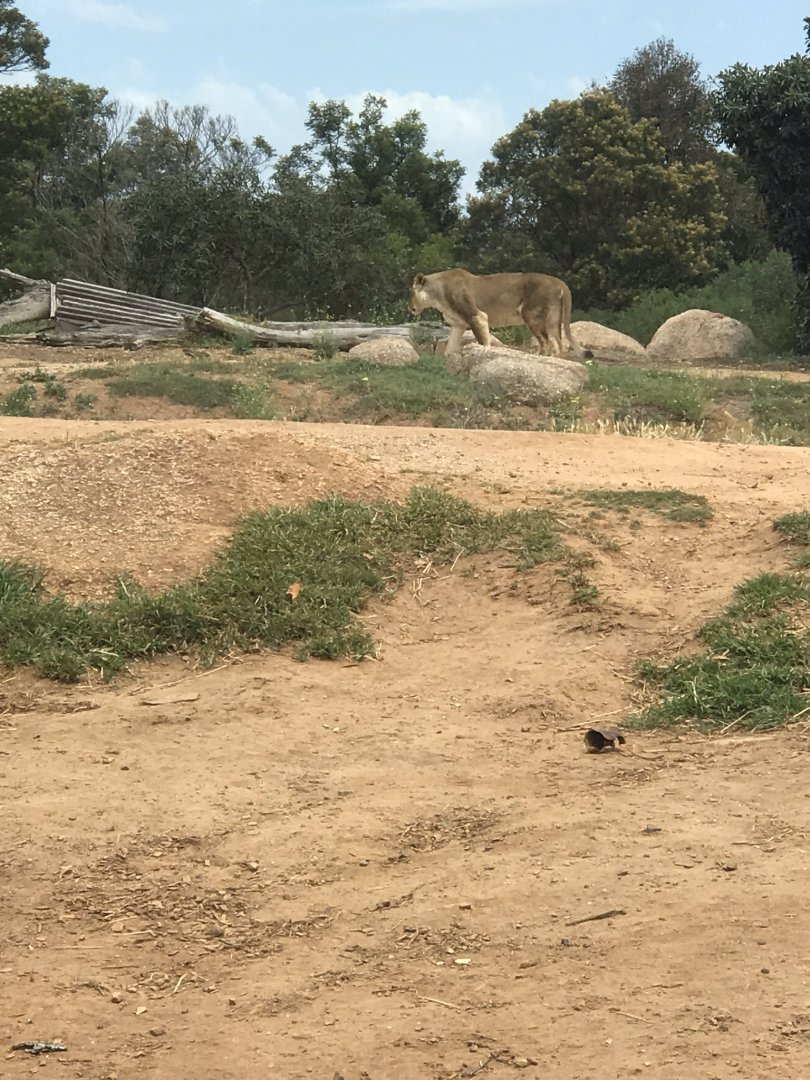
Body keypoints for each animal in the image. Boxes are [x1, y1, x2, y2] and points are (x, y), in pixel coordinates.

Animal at [408, 268, 588, 359]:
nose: (408, 307)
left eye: (410, 293)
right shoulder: (458, 325)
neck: (437, 295)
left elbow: (483, 340)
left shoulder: (476, 316)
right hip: (553, 319)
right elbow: (450, 347)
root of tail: (559, 281)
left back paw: (538, 357)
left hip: (530, 315)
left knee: (546, 343)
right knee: (558, 344)